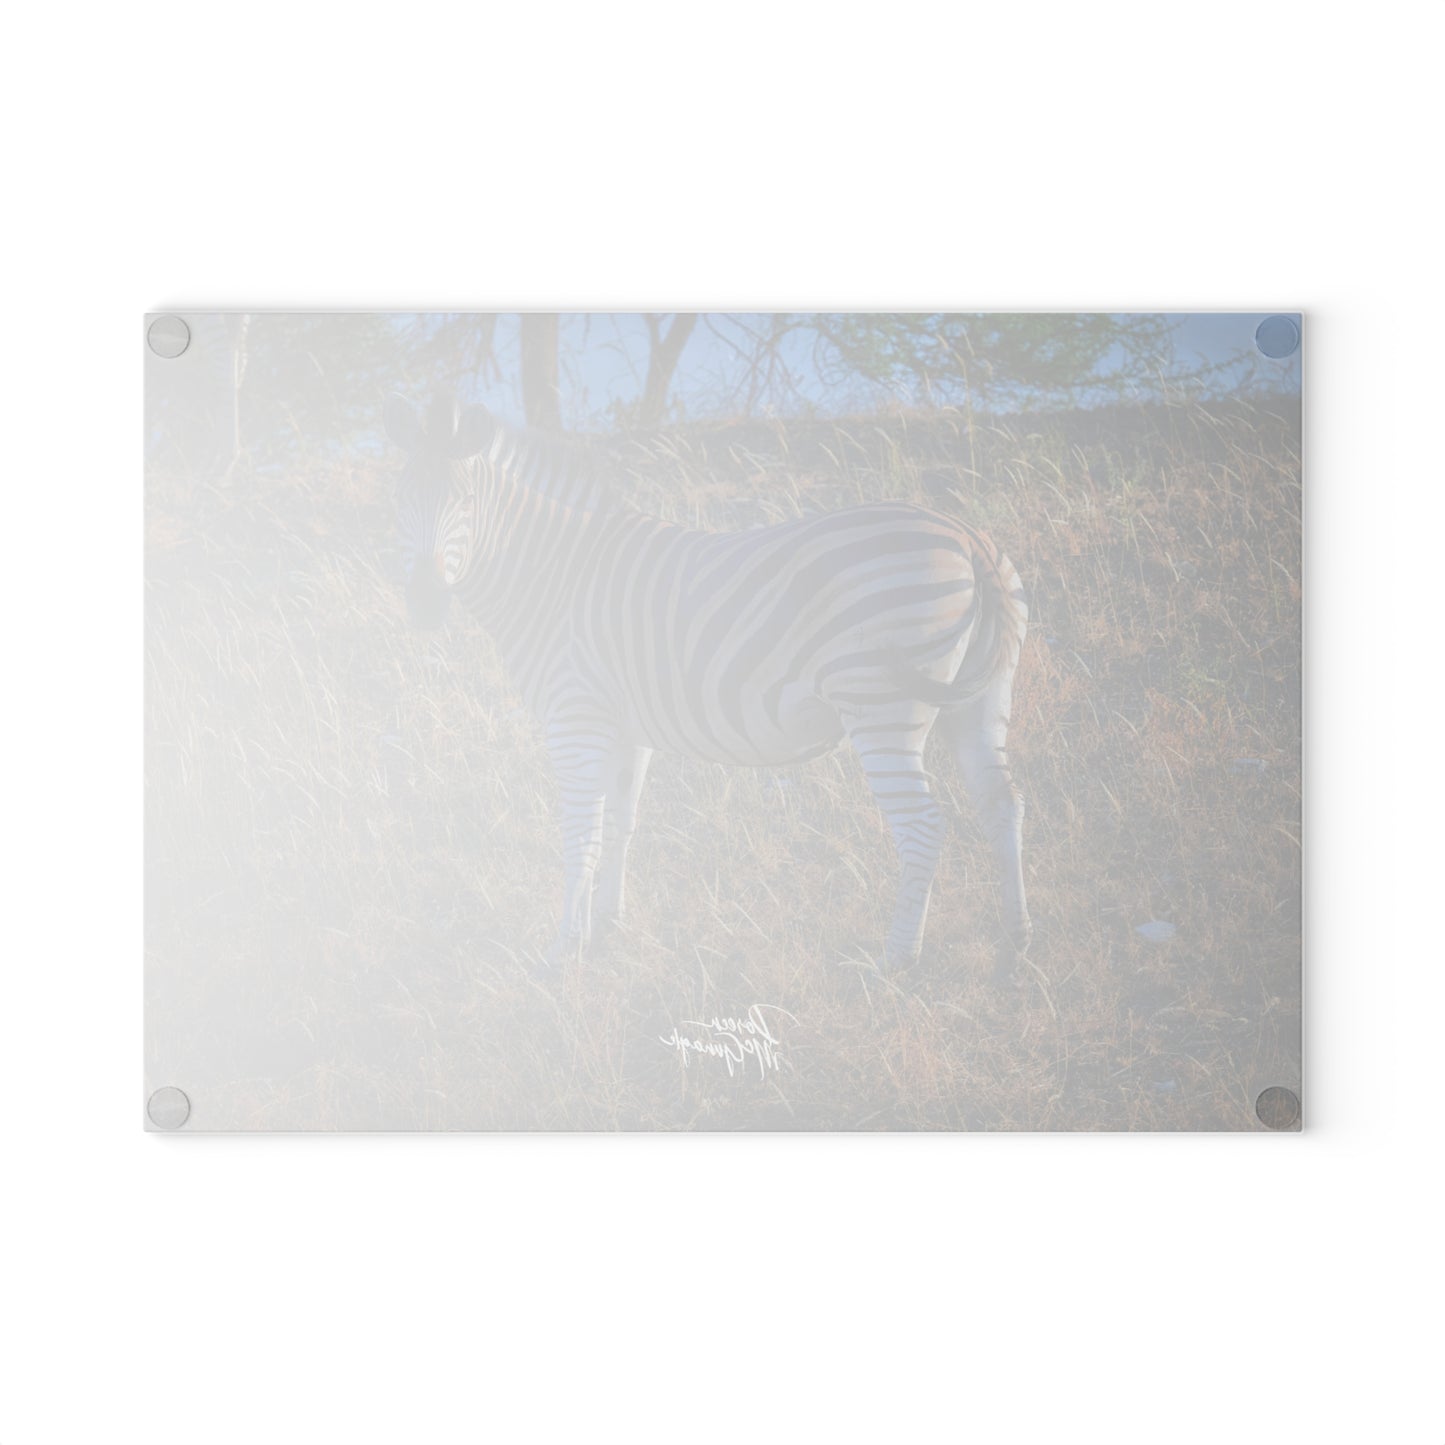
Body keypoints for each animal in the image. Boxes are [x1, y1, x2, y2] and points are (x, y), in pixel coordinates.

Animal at [385, 394, 1031, 972]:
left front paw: (563, 950)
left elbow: (581, 833)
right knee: (1002, 804)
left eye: (466, 502)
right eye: (396, 501)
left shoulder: (575, 717)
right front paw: (607, 930)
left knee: (922, 826)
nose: (424, 605)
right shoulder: (625, 726)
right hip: (982, 700)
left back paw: (897, 960)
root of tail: (967, 537)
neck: (551, 573)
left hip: (881, 706)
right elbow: (621, 824)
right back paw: (1014, 940)